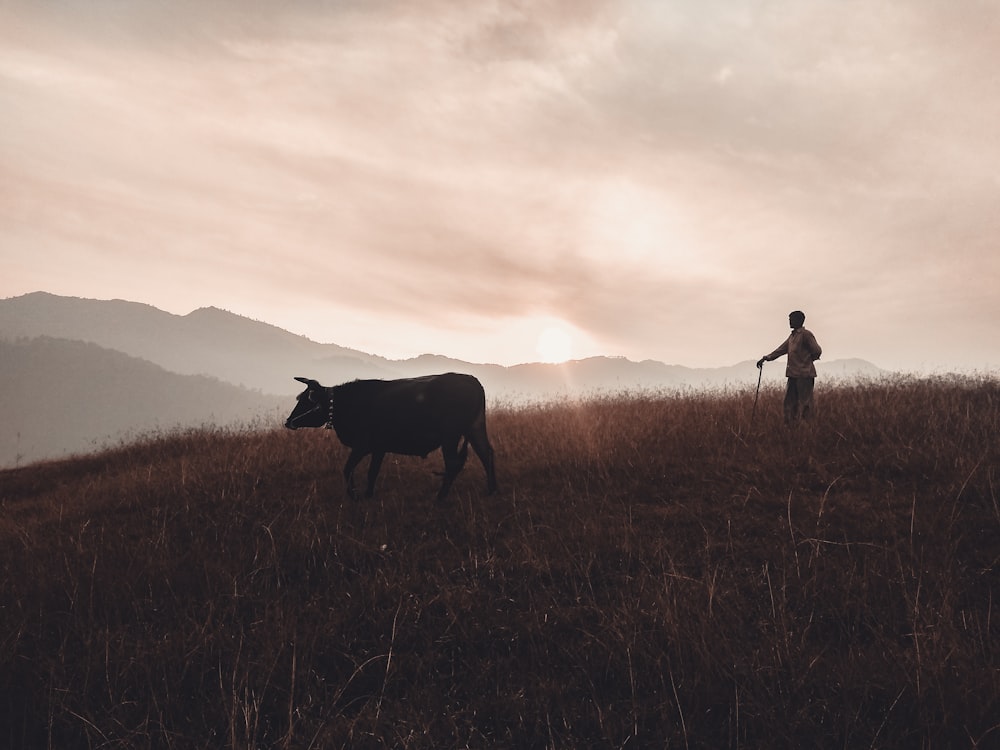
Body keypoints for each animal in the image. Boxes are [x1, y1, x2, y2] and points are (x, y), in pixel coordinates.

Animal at [284, 374, 498, 502]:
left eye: (305, 401)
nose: (288, 421)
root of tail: (470, 379)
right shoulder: (379, 448)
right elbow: (372, 472)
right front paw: (368, 495)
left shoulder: (362, 445)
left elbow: (347, 469)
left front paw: (353, 495)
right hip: (475, 428)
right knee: (486, 454)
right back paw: (491, 490)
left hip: (450, 436)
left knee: (453, 463)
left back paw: (440, 499)